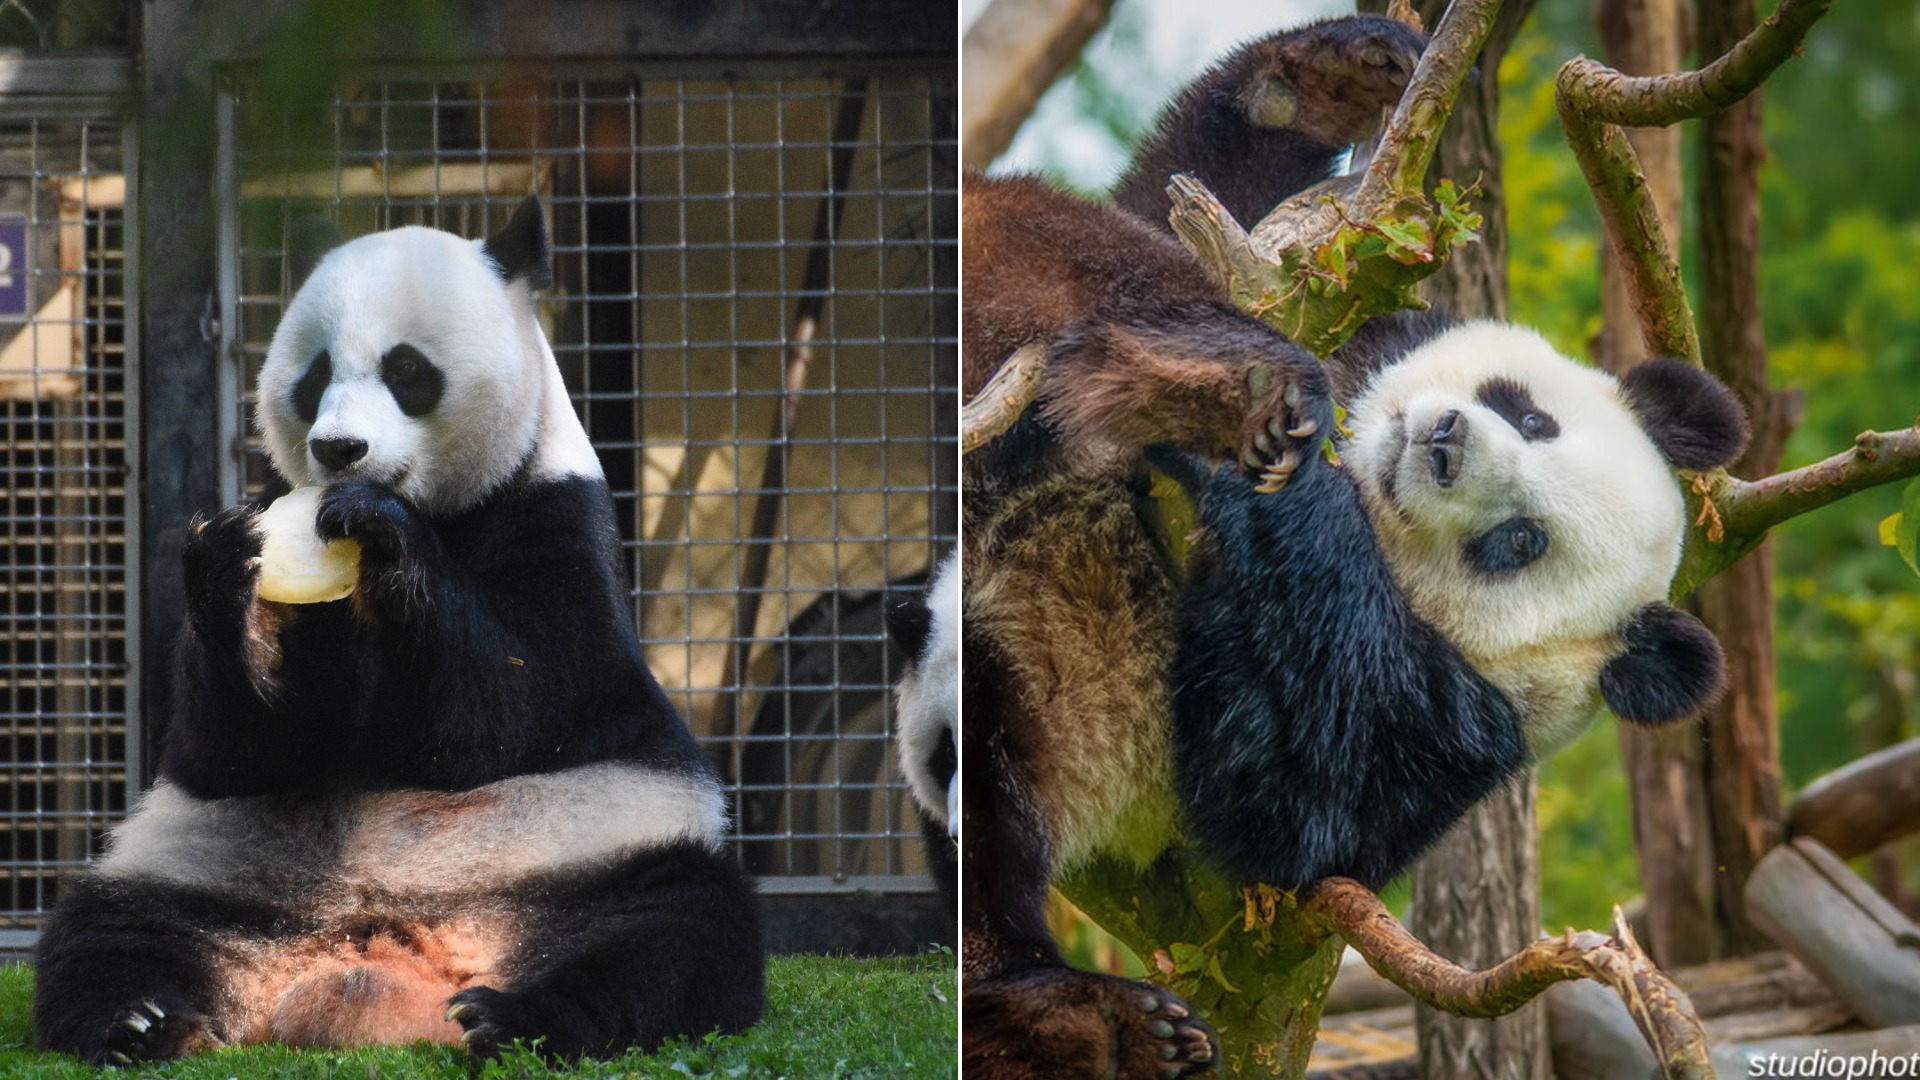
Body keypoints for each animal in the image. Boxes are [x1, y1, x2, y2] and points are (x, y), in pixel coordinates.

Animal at [32, 197, 766, 1065]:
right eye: (313, 377)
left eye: (407, 370)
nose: (339, 449)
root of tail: (374, 957)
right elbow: (241, 749)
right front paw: (228, 565)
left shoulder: (560, 524)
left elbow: (512, 706)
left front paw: (381, 530)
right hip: (206, 870)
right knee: (108, 929)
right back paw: (143, 1020)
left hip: (595, 854)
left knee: (670, 933)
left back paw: (514, 1018)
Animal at [961, 16, 1747, 1080]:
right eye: (1528, 414)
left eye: (1519, 542)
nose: (1442, 441)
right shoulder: (1324, 300)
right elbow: (1177, 209)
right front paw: (1338, 73)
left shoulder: (1445, 732)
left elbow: (1286, 796)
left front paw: (1264, 450)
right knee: (1057, 247)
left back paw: (1091, 1023)